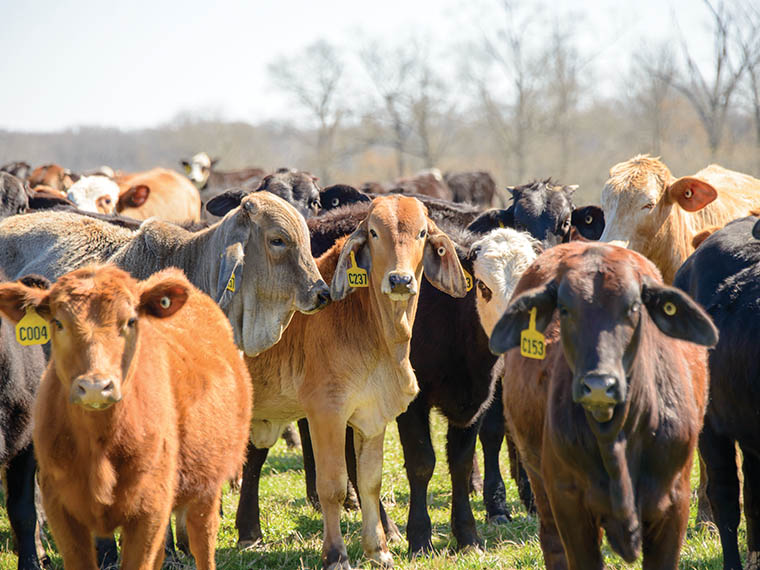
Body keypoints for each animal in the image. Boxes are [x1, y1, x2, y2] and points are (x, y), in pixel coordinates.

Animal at [0, 266, 252, 568]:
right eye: (58, 323)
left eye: (130, 320)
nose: (95, 386)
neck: (100, 446)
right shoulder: (61, 508)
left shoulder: (149, 511)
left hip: (206, 491)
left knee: (202, 543)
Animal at [246, 194, 466, 564]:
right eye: (374, 233)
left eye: (422, 232)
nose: (400, 281)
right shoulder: (326, 413)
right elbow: (333, 486)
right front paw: (336, 555)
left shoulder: (373, 416)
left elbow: (369, 483)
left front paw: (379, 550)